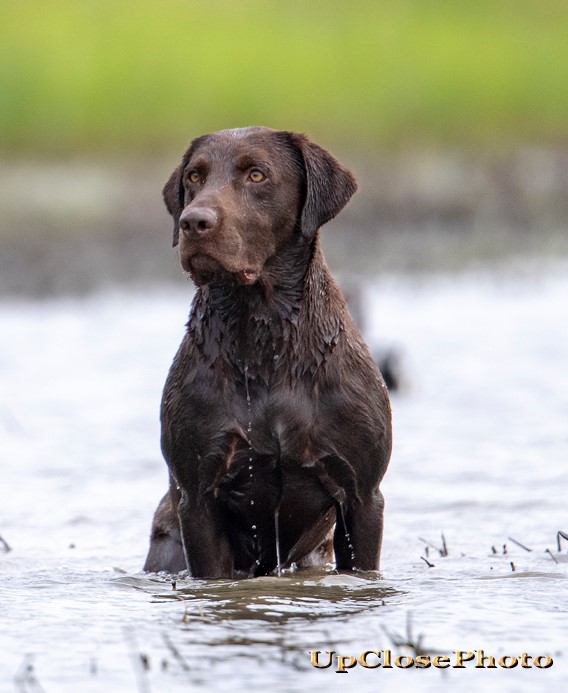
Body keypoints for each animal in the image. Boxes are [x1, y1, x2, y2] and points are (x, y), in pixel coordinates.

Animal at [143, 127, 390, 576]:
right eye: (194, 176)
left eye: (256, 175)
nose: (193, 222)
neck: (264, 341)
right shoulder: (198, 497)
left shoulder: (364, 495)